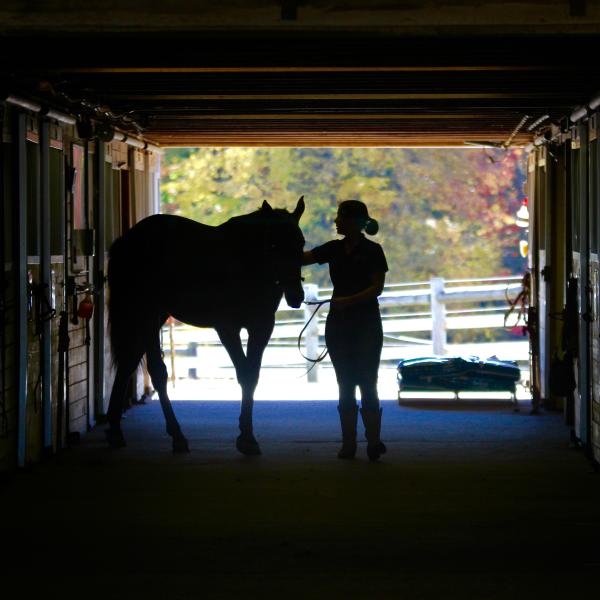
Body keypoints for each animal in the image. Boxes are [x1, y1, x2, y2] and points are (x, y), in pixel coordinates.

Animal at [103, 197, 308, 454]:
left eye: (301, 243)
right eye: (272, 245)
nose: (295, 296)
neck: (245, 263)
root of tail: (126, 242)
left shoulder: (261, 327)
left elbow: (252, 375)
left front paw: (247, 435)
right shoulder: (227, 328)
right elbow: (244, 374)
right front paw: (246, 438)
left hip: (154, 316)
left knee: (128, 362)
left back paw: (115, 431)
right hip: (147, 315)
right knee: (157, 372)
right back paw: (176, 435)